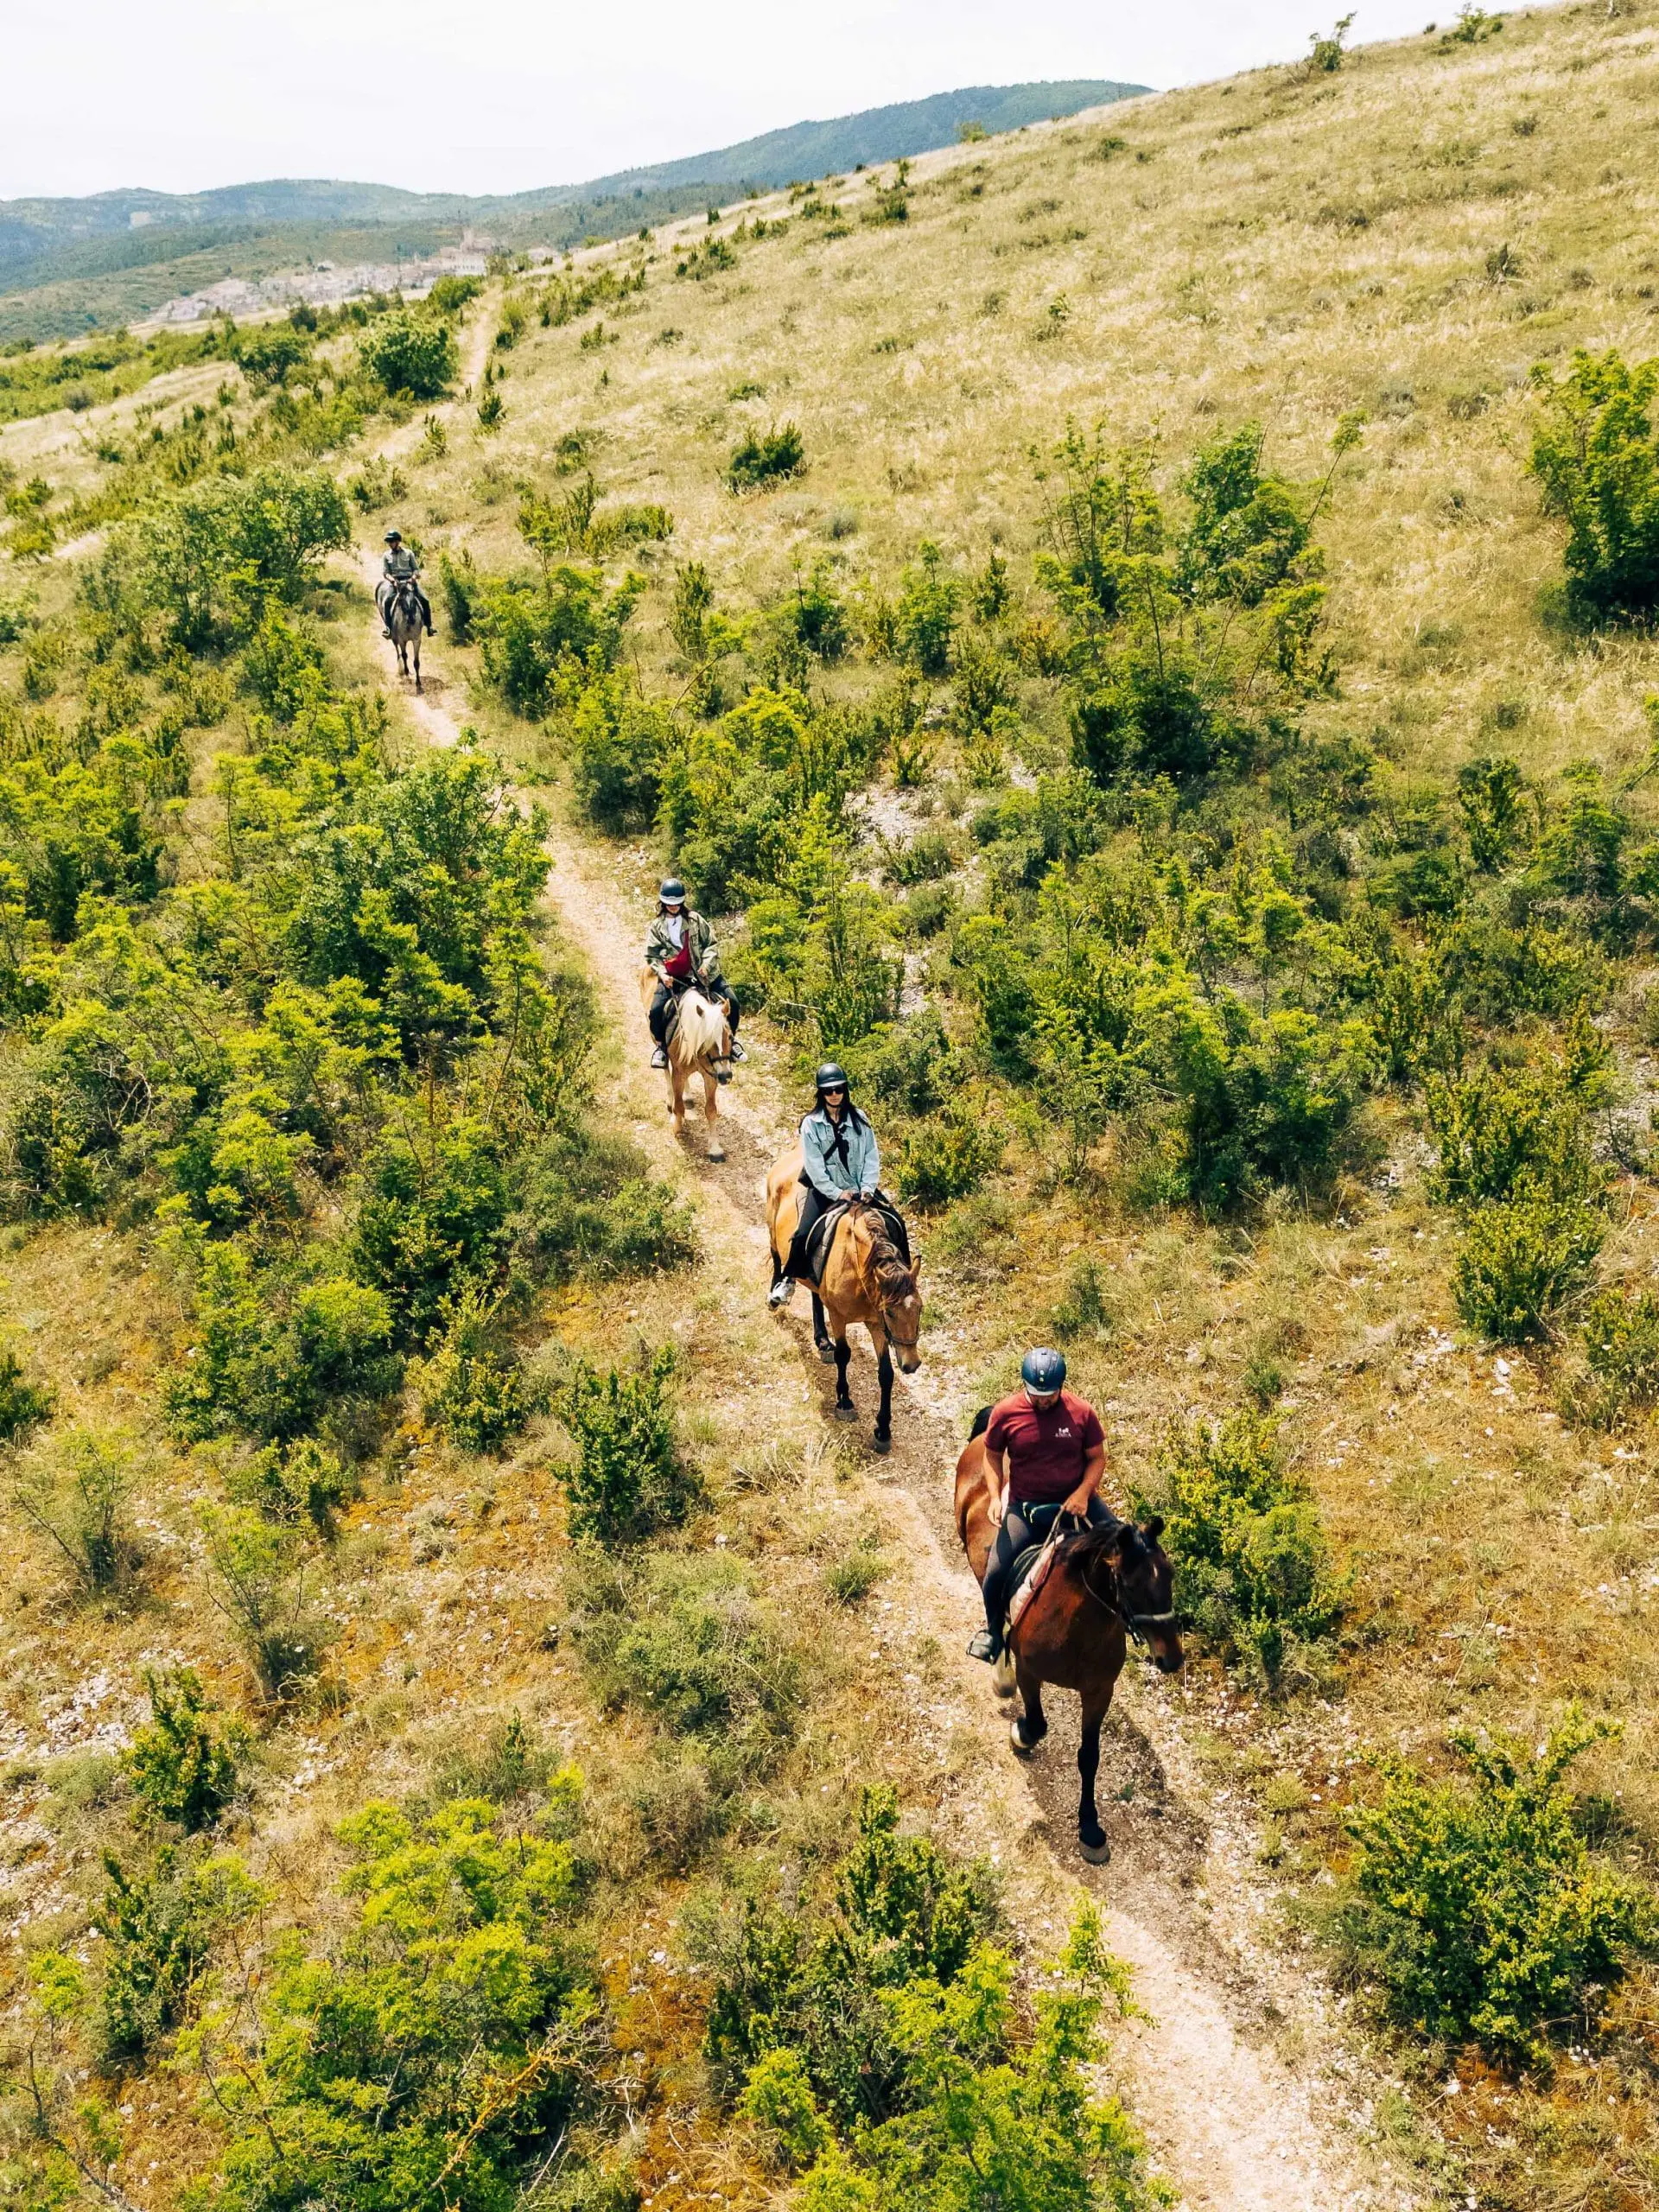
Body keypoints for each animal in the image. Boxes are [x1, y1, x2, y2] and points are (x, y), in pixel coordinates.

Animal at [383, 574, 424, 693]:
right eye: (401, 600)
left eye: (414, 599)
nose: (412, 619)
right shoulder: (402, 640)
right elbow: (405, 655)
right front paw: (406, 673)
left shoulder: (416, 640)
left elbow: (416, 662)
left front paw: (418, 683)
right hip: (394, 637)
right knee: (398, 650)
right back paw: (401, 668)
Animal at [640, 971, 732, 1159]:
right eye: (707, 1039)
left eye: (729, 1036)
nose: (725, 1076)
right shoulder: (679, 1073)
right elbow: (679, 1106)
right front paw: (676, 1125)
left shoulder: (710, 1076)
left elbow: (711, 1110)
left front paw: (715, 1149)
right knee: (666, 1071)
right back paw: (670, 1100)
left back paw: (688, 1096)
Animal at [765, 1152, 922, 1454]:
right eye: (891, 1313)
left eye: (920, 1309)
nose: (911, 1364)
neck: (860, 1269)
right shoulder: (840, 1316)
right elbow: (844, 1355)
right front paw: (845, 1402)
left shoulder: (875, 1323)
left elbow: (886, 1374)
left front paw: (883, 1430)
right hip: (773, 1234)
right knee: (778, 1259)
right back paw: (776, 1296)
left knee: (815, 1294)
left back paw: (822, 1340)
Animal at [955, 1418, 1183, 1862]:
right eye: (1131, 1585)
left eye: (1170, 1575)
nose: (1172, 1659)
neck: (1078, 1630)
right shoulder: (1030, 1672)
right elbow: (1038, 1723)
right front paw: (1021, 1735)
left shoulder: (1098, 1691)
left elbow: (1089, 1756)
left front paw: (1090, 1827)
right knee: (993, 1609)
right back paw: (998, 1669)